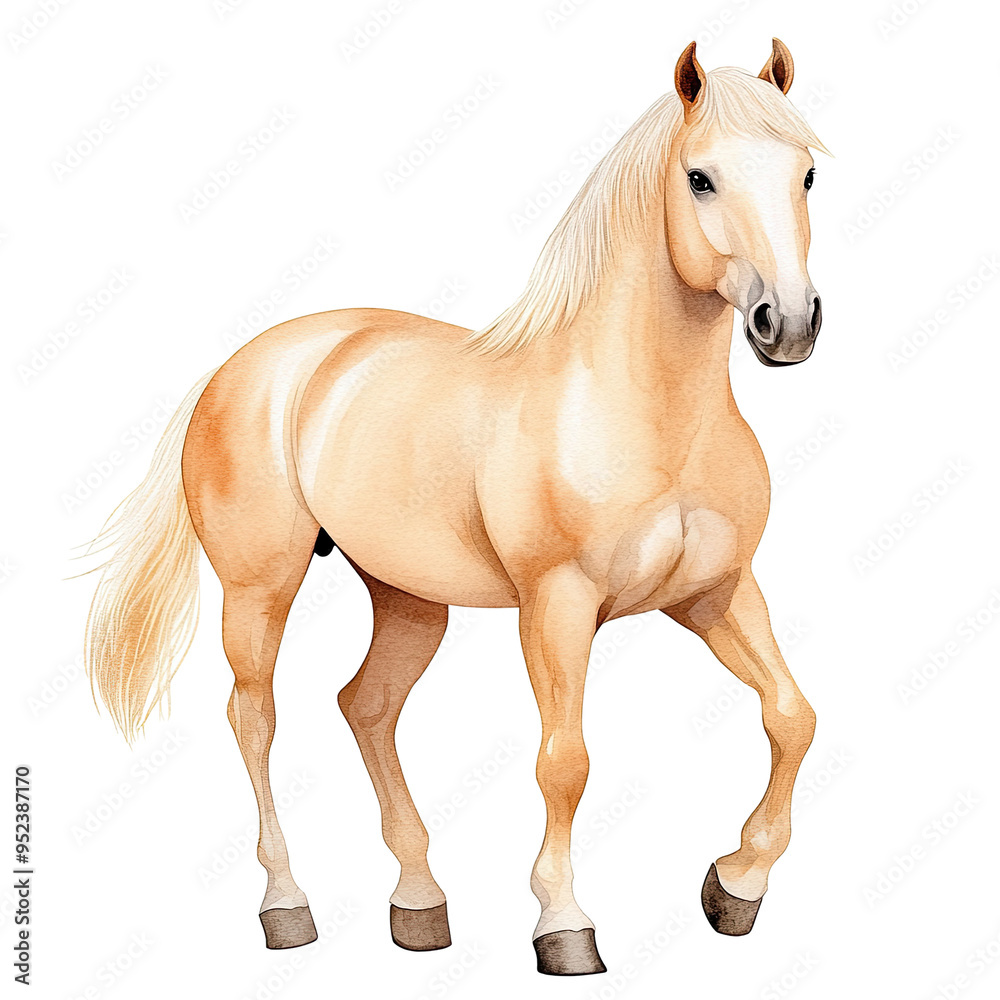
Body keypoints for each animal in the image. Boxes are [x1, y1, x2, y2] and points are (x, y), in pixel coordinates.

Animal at [84, 38, 828, 977]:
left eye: (807, 174)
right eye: (700, 178)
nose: (788, 324)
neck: (640, 409)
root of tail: (244, 365)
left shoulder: (716, 594)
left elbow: (793, 717)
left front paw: (735, 886)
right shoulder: (557, 605)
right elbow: (565, 760)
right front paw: (564, 926)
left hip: (408, 599)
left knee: (365, 706)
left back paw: (419, 903)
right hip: (258, 591)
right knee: (254, 718)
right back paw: (289, 906)